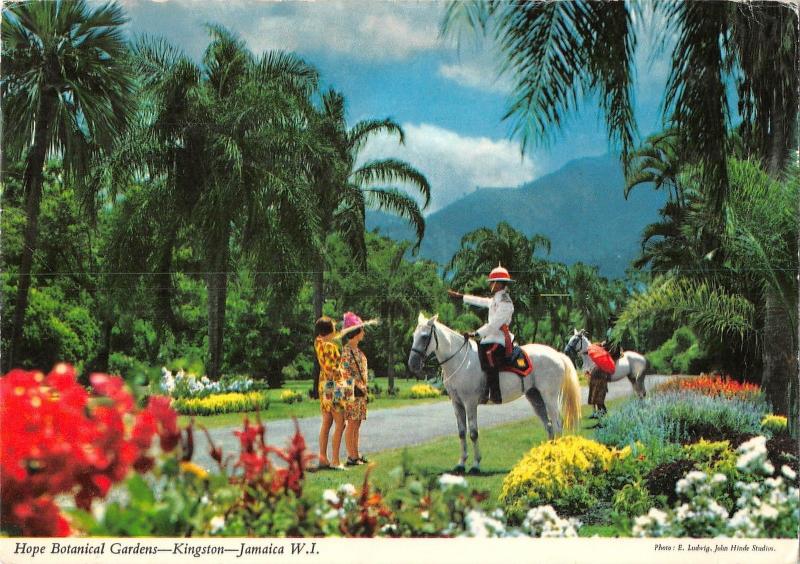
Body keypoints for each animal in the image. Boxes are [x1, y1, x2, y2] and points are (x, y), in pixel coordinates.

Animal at [410, 312, 580, 476]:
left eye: (424, 336)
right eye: (413, 335)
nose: (412, 364)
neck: (460, 361)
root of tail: (557, 355)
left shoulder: (470, 403)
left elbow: (473, 433)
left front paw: (475, 465)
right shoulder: (456, 403)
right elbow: (461, 432)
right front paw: (461, 464)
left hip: (549, 397)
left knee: (557, 424)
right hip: (535, 397)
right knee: (549, 426)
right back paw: (546, 457)